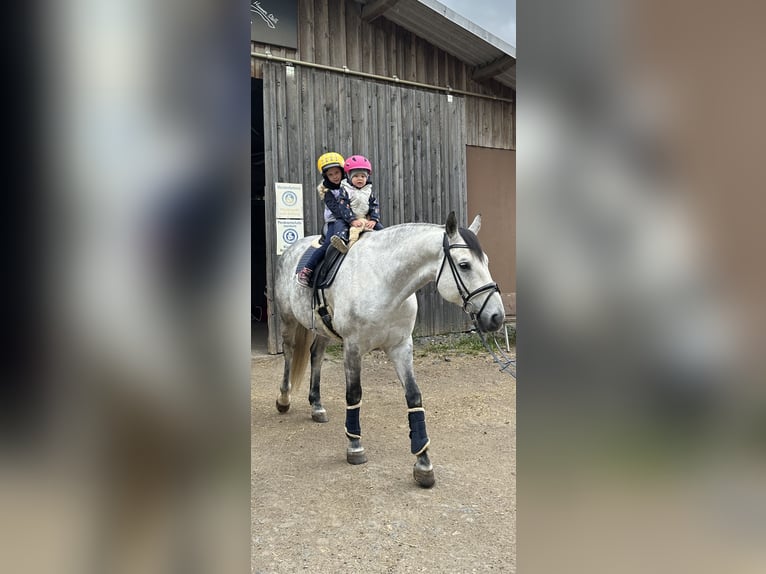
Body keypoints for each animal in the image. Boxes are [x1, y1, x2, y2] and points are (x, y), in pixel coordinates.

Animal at [273, 211, 505, 487]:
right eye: (464, 265)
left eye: (487, 262)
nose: (497, 317)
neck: (384, 281)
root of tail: (291, 249)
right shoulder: (353, 347)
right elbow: (354, 395)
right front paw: (355, 446)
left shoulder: (401, 347)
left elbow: (414, 396)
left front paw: (423, 462)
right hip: (288, 320)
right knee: (289, 353)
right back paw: (284, 400)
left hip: (321, 330)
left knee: (316, 356)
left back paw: (317, 406)